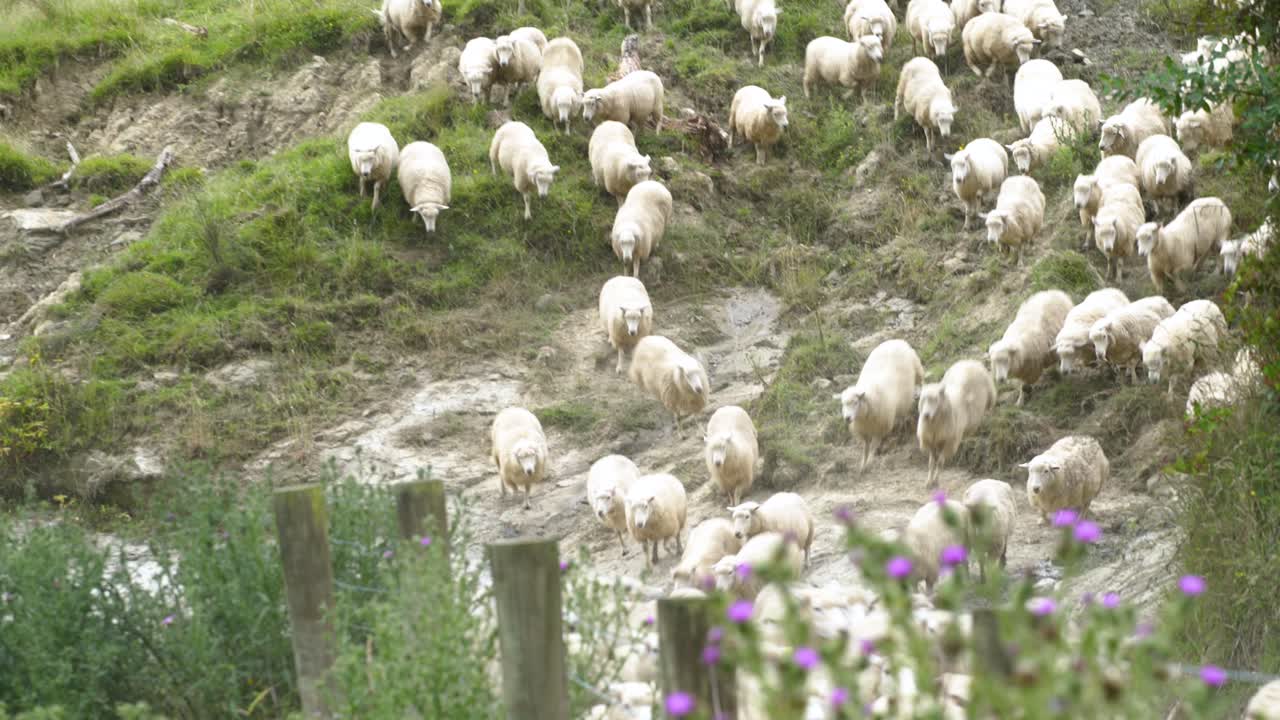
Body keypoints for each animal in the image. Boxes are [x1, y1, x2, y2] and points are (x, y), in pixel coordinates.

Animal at [836, 338, 926, 471]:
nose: (847, 418)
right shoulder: (864, 432)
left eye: (855, 402)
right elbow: (865, 448)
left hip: (917, 368)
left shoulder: (880, 429)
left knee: (921, 382)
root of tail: (897, 340)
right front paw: (863, 463)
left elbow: (873, 446)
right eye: (843, 404)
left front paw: (869, 461)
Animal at [917, 360, 997, 488]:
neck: (934, 425)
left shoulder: (949, 442)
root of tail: (969, 361)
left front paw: (936, 481)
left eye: (935, 399)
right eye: (922, 399)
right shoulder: (930, 442)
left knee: (989, 410)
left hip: (991, 397)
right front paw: (929, 481)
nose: (926, 415)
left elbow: (940, 462)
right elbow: (931, 463)